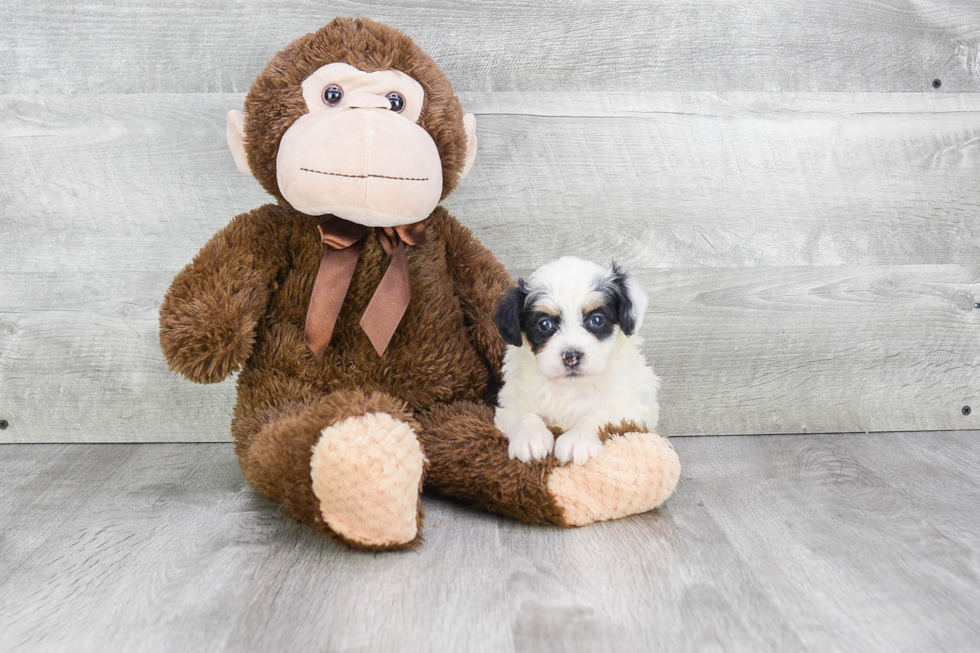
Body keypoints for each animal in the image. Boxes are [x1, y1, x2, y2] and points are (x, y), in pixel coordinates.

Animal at [494, 255, 664, 464]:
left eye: (596, 320)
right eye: (545, 324)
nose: (571, 356)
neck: (572, 387)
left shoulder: (630, 409)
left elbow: (599, 417)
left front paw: (577, 440)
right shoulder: (510, 400)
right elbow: (524, 414)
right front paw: (530, 438)